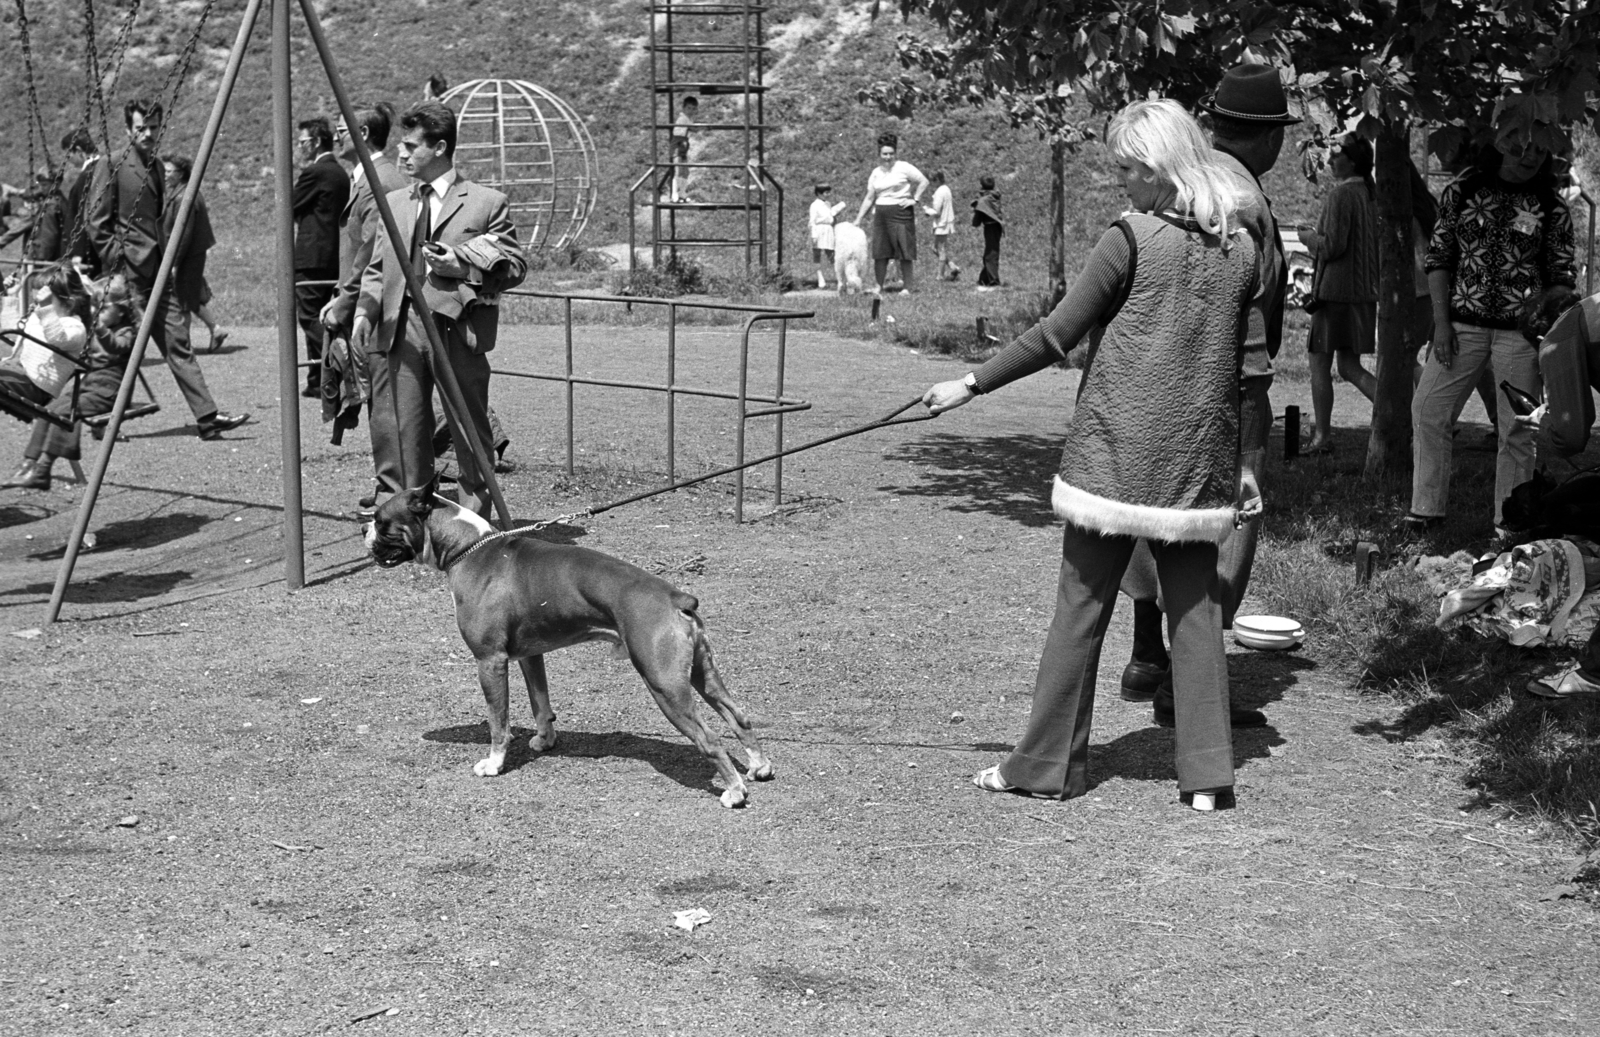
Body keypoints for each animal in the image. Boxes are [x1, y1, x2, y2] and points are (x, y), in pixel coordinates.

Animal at [369, 476, 780, 809]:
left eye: (379, 520)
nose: (364, 532)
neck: (468, 546)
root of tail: (676, 597)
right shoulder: (530, 656)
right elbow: (540, 703)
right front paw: (545, 740)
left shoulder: (490, 660)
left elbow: (498, 720)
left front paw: (494, 763)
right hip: (700, 674)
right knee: (738, 715)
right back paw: (759, 767)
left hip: (665, 684)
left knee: (709, 738)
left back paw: (734, 792)